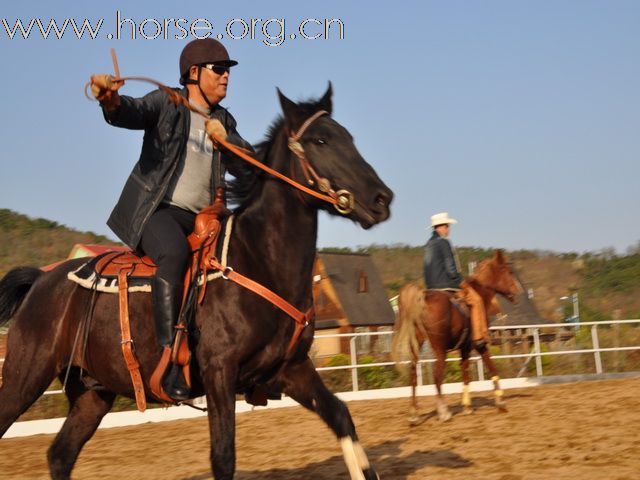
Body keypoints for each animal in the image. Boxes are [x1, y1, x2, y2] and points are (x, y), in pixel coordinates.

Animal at [0, 86, 392, 480]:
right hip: (25, 378)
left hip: (92, 392)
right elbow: (223, 456)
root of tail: (42, 280)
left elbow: (341, 416)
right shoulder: (220, 374)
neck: (258, 258)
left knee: (60, 454)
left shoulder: (291, 369)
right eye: (321, 140)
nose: (381, 199)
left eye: (348, 137)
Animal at [390, 251, 520, 424]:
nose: (518, 290)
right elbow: (490, 367)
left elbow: (465, 373)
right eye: (509, 272)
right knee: (437, 377)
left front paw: (468, 406)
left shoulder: (464, 347)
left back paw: (414, 414)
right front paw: (501, 402)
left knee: (413, 375)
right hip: (439, 349)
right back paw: (444, 412)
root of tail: (422, 297)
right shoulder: (477, 345)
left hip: (417, 344)